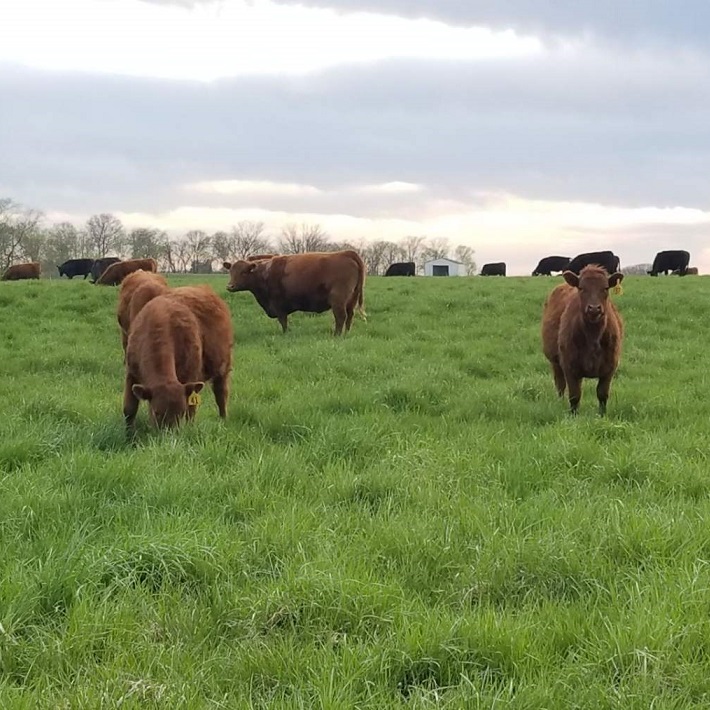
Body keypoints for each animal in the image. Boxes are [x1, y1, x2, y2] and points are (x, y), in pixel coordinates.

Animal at [125, 298, 206, 432]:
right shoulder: (131, 373)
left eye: (181, 412)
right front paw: (129, 435)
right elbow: (129, 409)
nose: (169, 433)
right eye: (157, 413)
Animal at [222, 250, 368, 336]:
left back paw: (337, 335)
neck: (265, 272)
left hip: (338, 299)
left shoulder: (278, 305)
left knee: (341, 316)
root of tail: (345, 253)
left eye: (243, 272)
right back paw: (346, 334)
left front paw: (285, 334)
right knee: (350, 316)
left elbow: (283, 322)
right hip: (351, 299)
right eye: (231, 271)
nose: (230, 286)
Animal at [544, 264, 624, 414]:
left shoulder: (610, 367)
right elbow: (574, 395)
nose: (594, 309)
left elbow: (602, 394)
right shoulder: (569, 366)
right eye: (581, 288)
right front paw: (573, 415)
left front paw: (602, 415)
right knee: (560, 385)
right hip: (555, 362)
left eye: (605, 288)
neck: (593, 337)